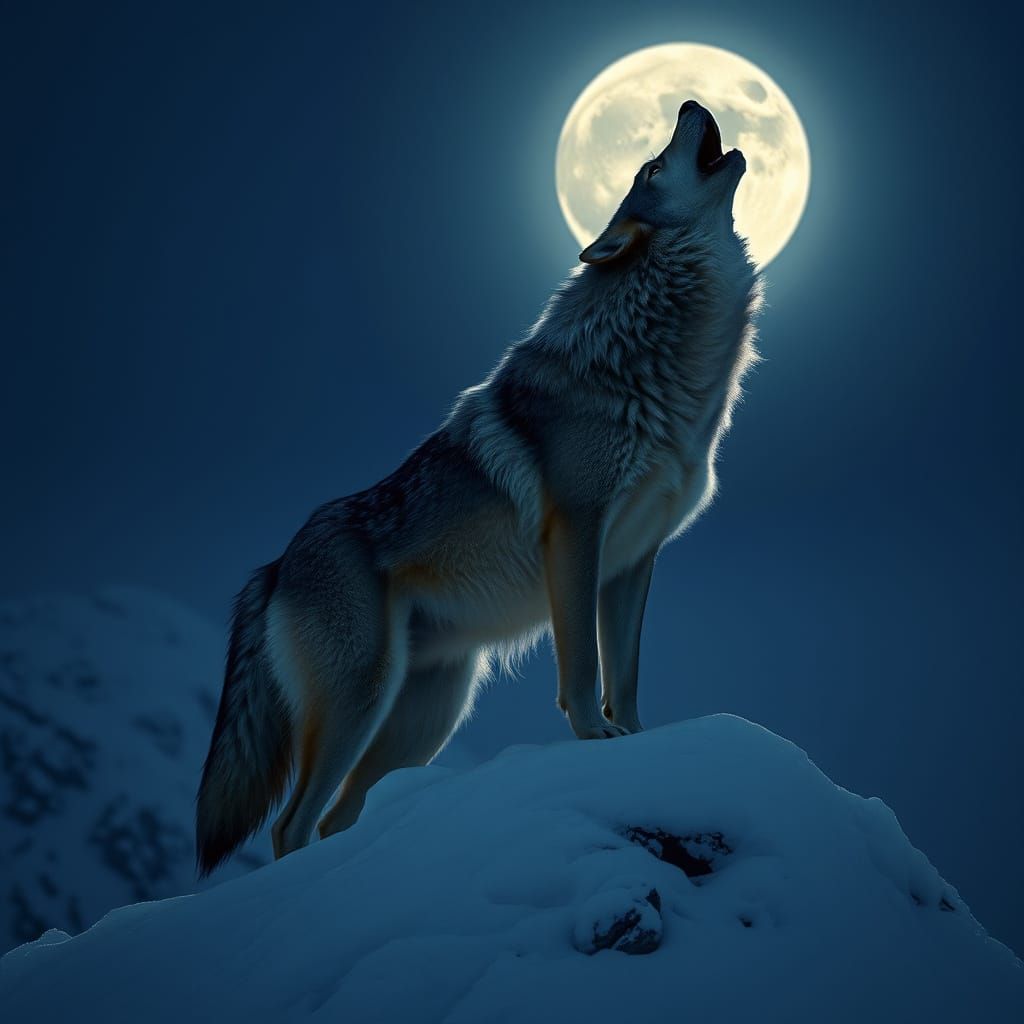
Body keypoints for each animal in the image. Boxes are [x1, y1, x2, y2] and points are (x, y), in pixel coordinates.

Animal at [196, 100, 762, 874]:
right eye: (650, 167)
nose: (688, 103)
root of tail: (274, 566)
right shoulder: (577, 532)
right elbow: (583, 668)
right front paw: (594, 739)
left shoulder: (635, 562)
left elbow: (626, 676)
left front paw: (637, 740)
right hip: (363, 702)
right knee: (290, 825)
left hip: (424, 721)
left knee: (337, 821)